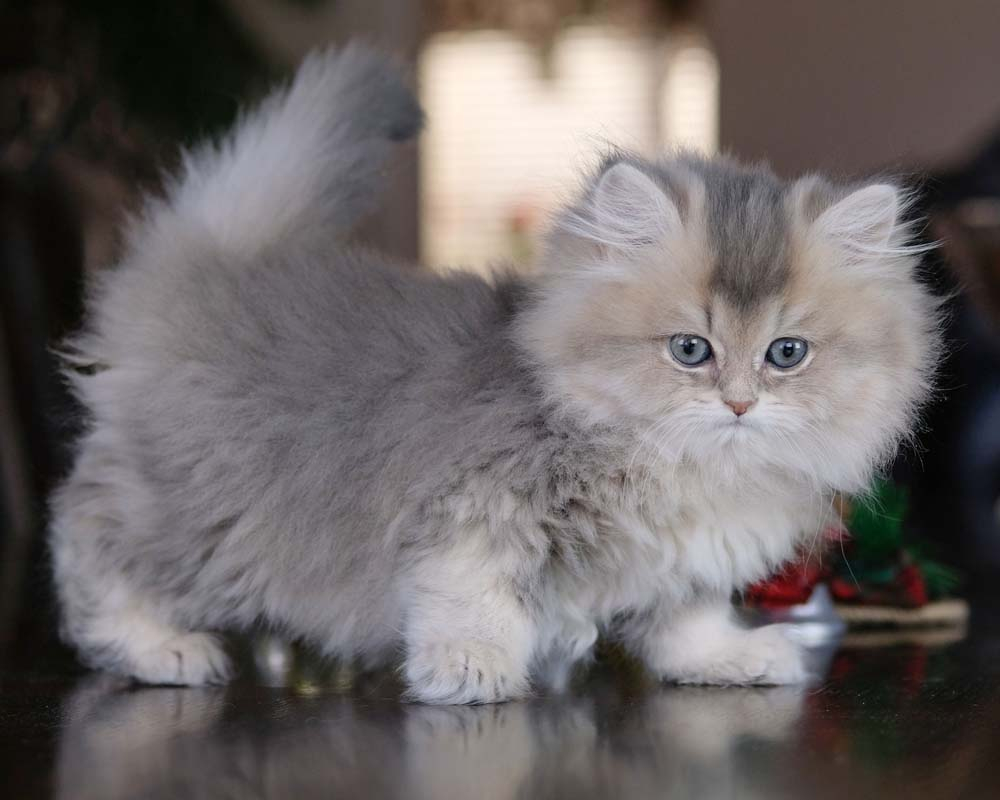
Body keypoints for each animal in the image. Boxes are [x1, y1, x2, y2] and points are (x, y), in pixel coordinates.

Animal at [47, 47, 936, 704]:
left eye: (787, 353)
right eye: (691, 350)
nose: (741, 403)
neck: (685, 468)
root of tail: (209, 273)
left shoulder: (681, 567)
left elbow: (687, 625)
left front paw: (729, 659)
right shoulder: (470, 511)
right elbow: (471, 599)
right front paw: (471, 670)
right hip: (202, 521)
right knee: (86, 543)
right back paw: (158, 648)